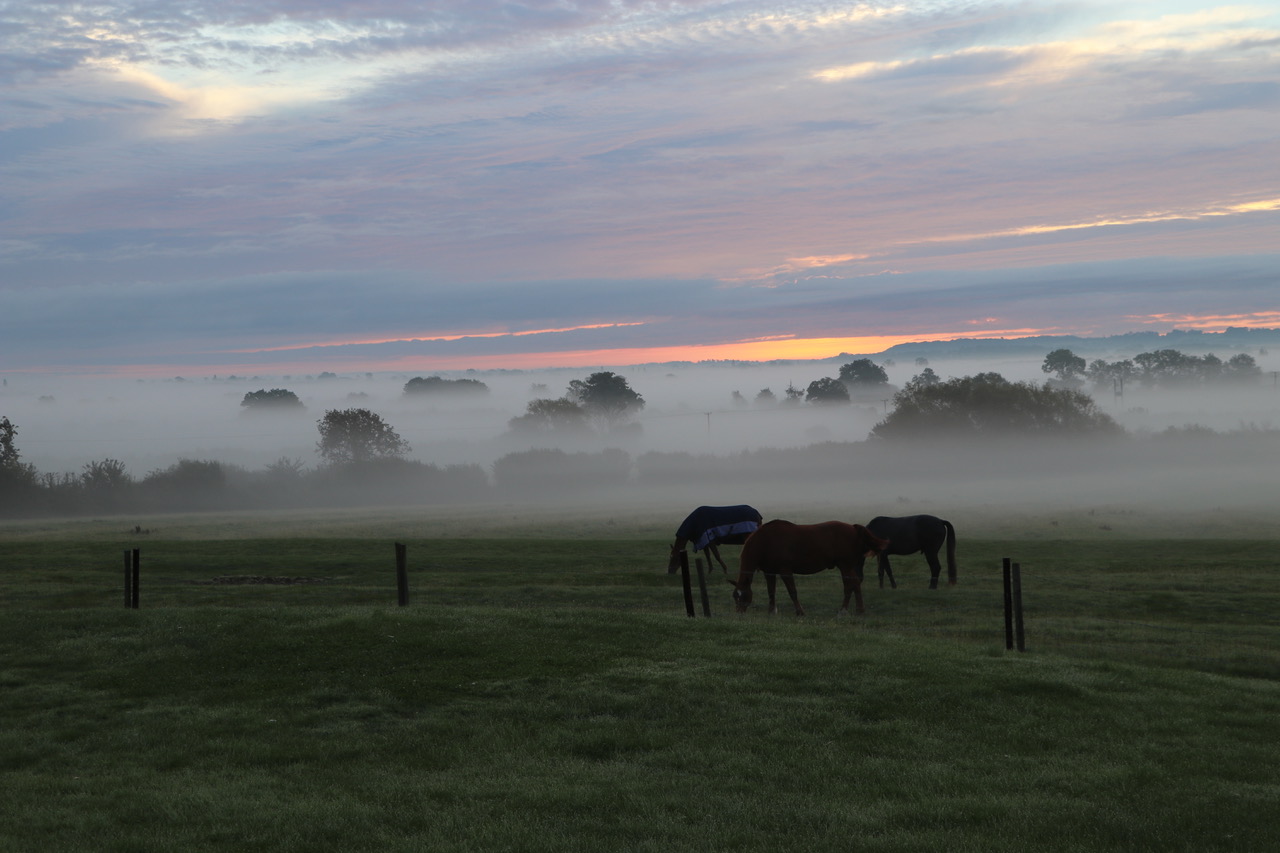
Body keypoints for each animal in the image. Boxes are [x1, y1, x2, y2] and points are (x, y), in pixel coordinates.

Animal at [732, 514, 890, 614]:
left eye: (742, 595)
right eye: (735, 596)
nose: (739, 612)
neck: (766, 541)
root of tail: (854, 528)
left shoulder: (785, 570)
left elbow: (792, 591)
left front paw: (800, 611)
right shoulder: (769, 572)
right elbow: (771, 591)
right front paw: (771, 611)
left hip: (845, 566)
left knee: (852, 584)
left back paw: (846, 610)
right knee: (853, 585)